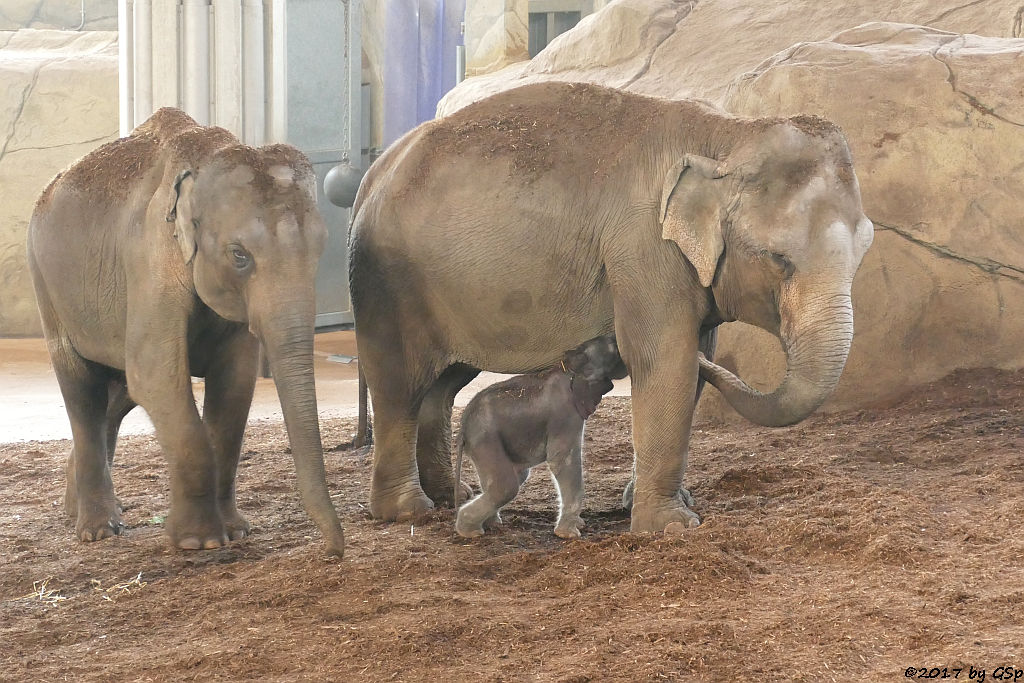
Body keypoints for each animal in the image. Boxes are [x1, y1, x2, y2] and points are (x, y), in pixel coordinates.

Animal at [28, 107, 346, 557]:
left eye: (321, 249)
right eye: (239, 256)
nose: (335, 551)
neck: (208, 156)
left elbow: (234, 385)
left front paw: (236, 531)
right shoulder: (150, 258)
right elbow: (158, 376)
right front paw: (200, 542)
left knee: (119, 392)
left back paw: (81, 508)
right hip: (47, 285)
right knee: (83, 391)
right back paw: (97, 529)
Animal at [454, 335, 622, 540]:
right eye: (612, 346)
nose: (614, 337)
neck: (569, 366)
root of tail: (462, 427)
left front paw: (579, 525)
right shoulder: (564, 414)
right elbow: (562, 461)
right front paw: (570, 534)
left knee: (509, 478)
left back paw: (492, 524)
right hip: (485, 439)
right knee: (506, 486)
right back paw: (470, 532)